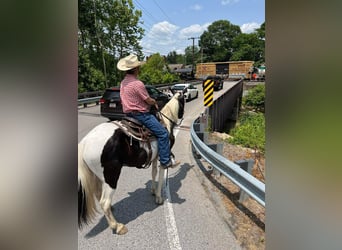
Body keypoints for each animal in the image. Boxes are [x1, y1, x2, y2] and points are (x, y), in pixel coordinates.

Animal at [78, 91, 184, 234]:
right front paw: (159, 197)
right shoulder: (163, 158)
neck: (165, 123)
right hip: (111, 175)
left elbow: (153, 173)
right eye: (183, 101)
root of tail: (84, 142)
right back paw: (117, 226)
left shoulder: (155, 158)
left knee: (99, 195)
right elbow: (161, 176)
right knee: (104, 201)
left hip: (98, 176)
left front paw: (153, 190)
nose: (181, 116)